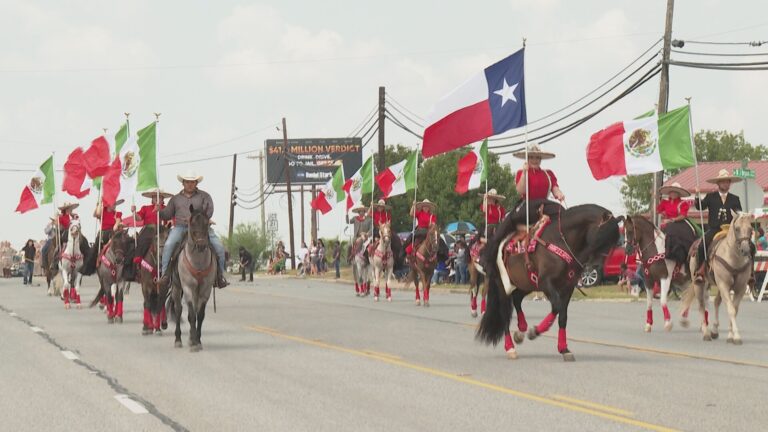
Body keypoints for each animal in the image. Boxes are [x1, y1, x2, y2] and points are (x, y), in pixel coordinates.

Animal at [169, 206, 214, 352]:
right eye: (192, 223)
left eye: (206, 223)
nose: (201, 245)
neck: (198, 262)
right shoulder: (188, 288)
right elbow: (191, 315)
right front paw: (194, 343)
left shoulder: (205, 290)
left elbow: (200, 315)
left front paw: (197, 341)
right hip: (177, 288)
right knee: (178, 310)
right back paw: (178, 339)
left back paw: (190, 337)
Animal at [476, 202, 620, 362]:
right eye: (602, 236)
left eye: (614, 243)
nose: (596, 267)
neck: (560, 240)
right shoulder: (546, 283)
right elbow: (556, 307)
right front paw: (535, 332)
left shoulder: (567, 287)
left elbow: (563, 316)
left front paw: (564, 349)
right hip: (502, 285)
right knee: (504, 314)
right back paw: (510, 347)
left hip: (527, 283)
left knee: (517, 298)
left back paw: (521, 329)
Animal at [680, 210, 752, 344]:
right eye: (737, 228)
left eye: (750, 229)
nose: (745, 250)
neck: (734, 258)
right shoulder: (723, 285)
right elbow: (731, 309)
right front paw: (736, 336)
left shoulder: (740, 288)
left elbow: (734, 309)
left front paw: (731, 336)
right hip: (699, 283)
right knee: (702, 305)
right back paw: (706, 333)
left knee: (716, 302)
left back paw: (714, 330)